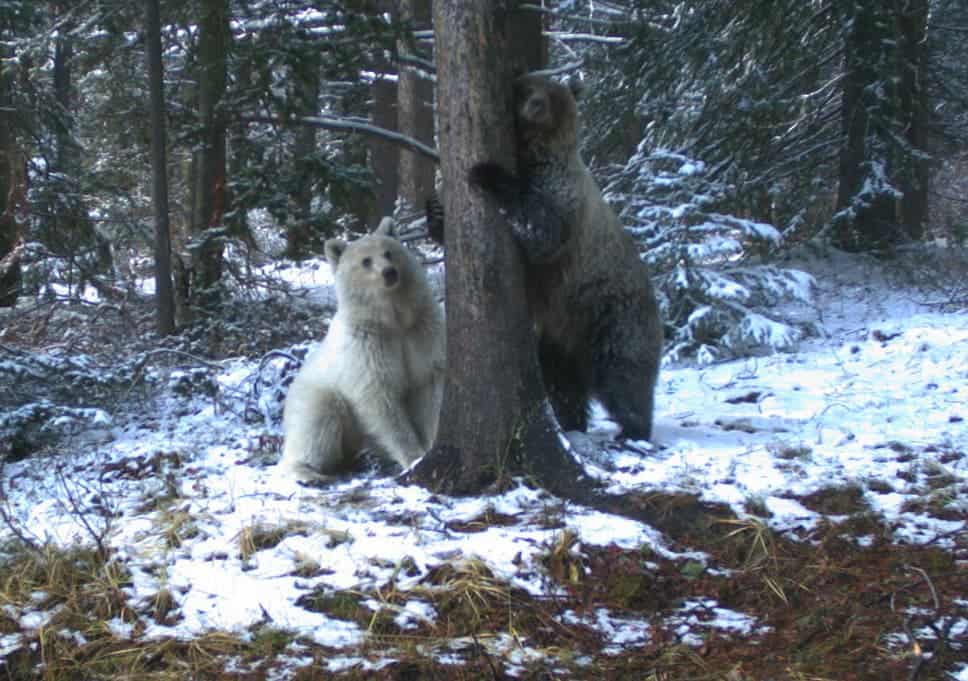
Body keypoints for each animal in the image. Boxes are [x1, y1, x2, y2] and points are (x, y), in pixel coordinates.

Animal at [278, 220, 444, 480]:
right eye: (366, 261)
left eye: (389, 252)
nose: (389, 272)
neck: (392, 322)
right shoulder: (367, 347)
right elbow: (380, 400)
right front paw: (413, 458)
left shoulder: (422, 332)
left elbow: (429, 386)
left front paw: (430, 445)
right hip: (316, 392)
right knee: (316, 423)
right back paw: (308, 472)